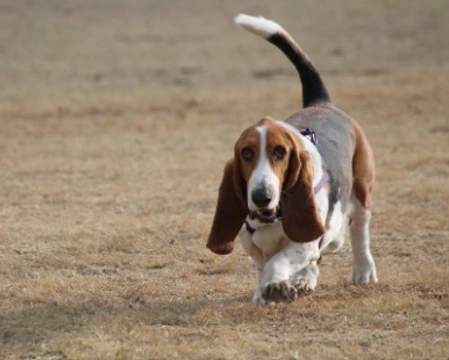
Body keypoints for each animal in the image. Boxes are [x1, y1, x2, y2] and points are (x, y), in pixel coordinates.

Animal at [205, 14, 376, 304]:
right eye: (246, 153)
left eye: (280, 152)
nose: (261, 196)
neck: (273, 216)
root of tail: (321, 103)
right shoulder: (252, 244)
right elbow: (263, 265)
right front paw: (264, 292)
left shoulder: (304, 241)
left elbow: (280, 260)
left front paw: (276, 285)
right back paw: (305, 279)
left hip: (361, 191)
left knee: (357, 231)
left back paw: (363, 271)